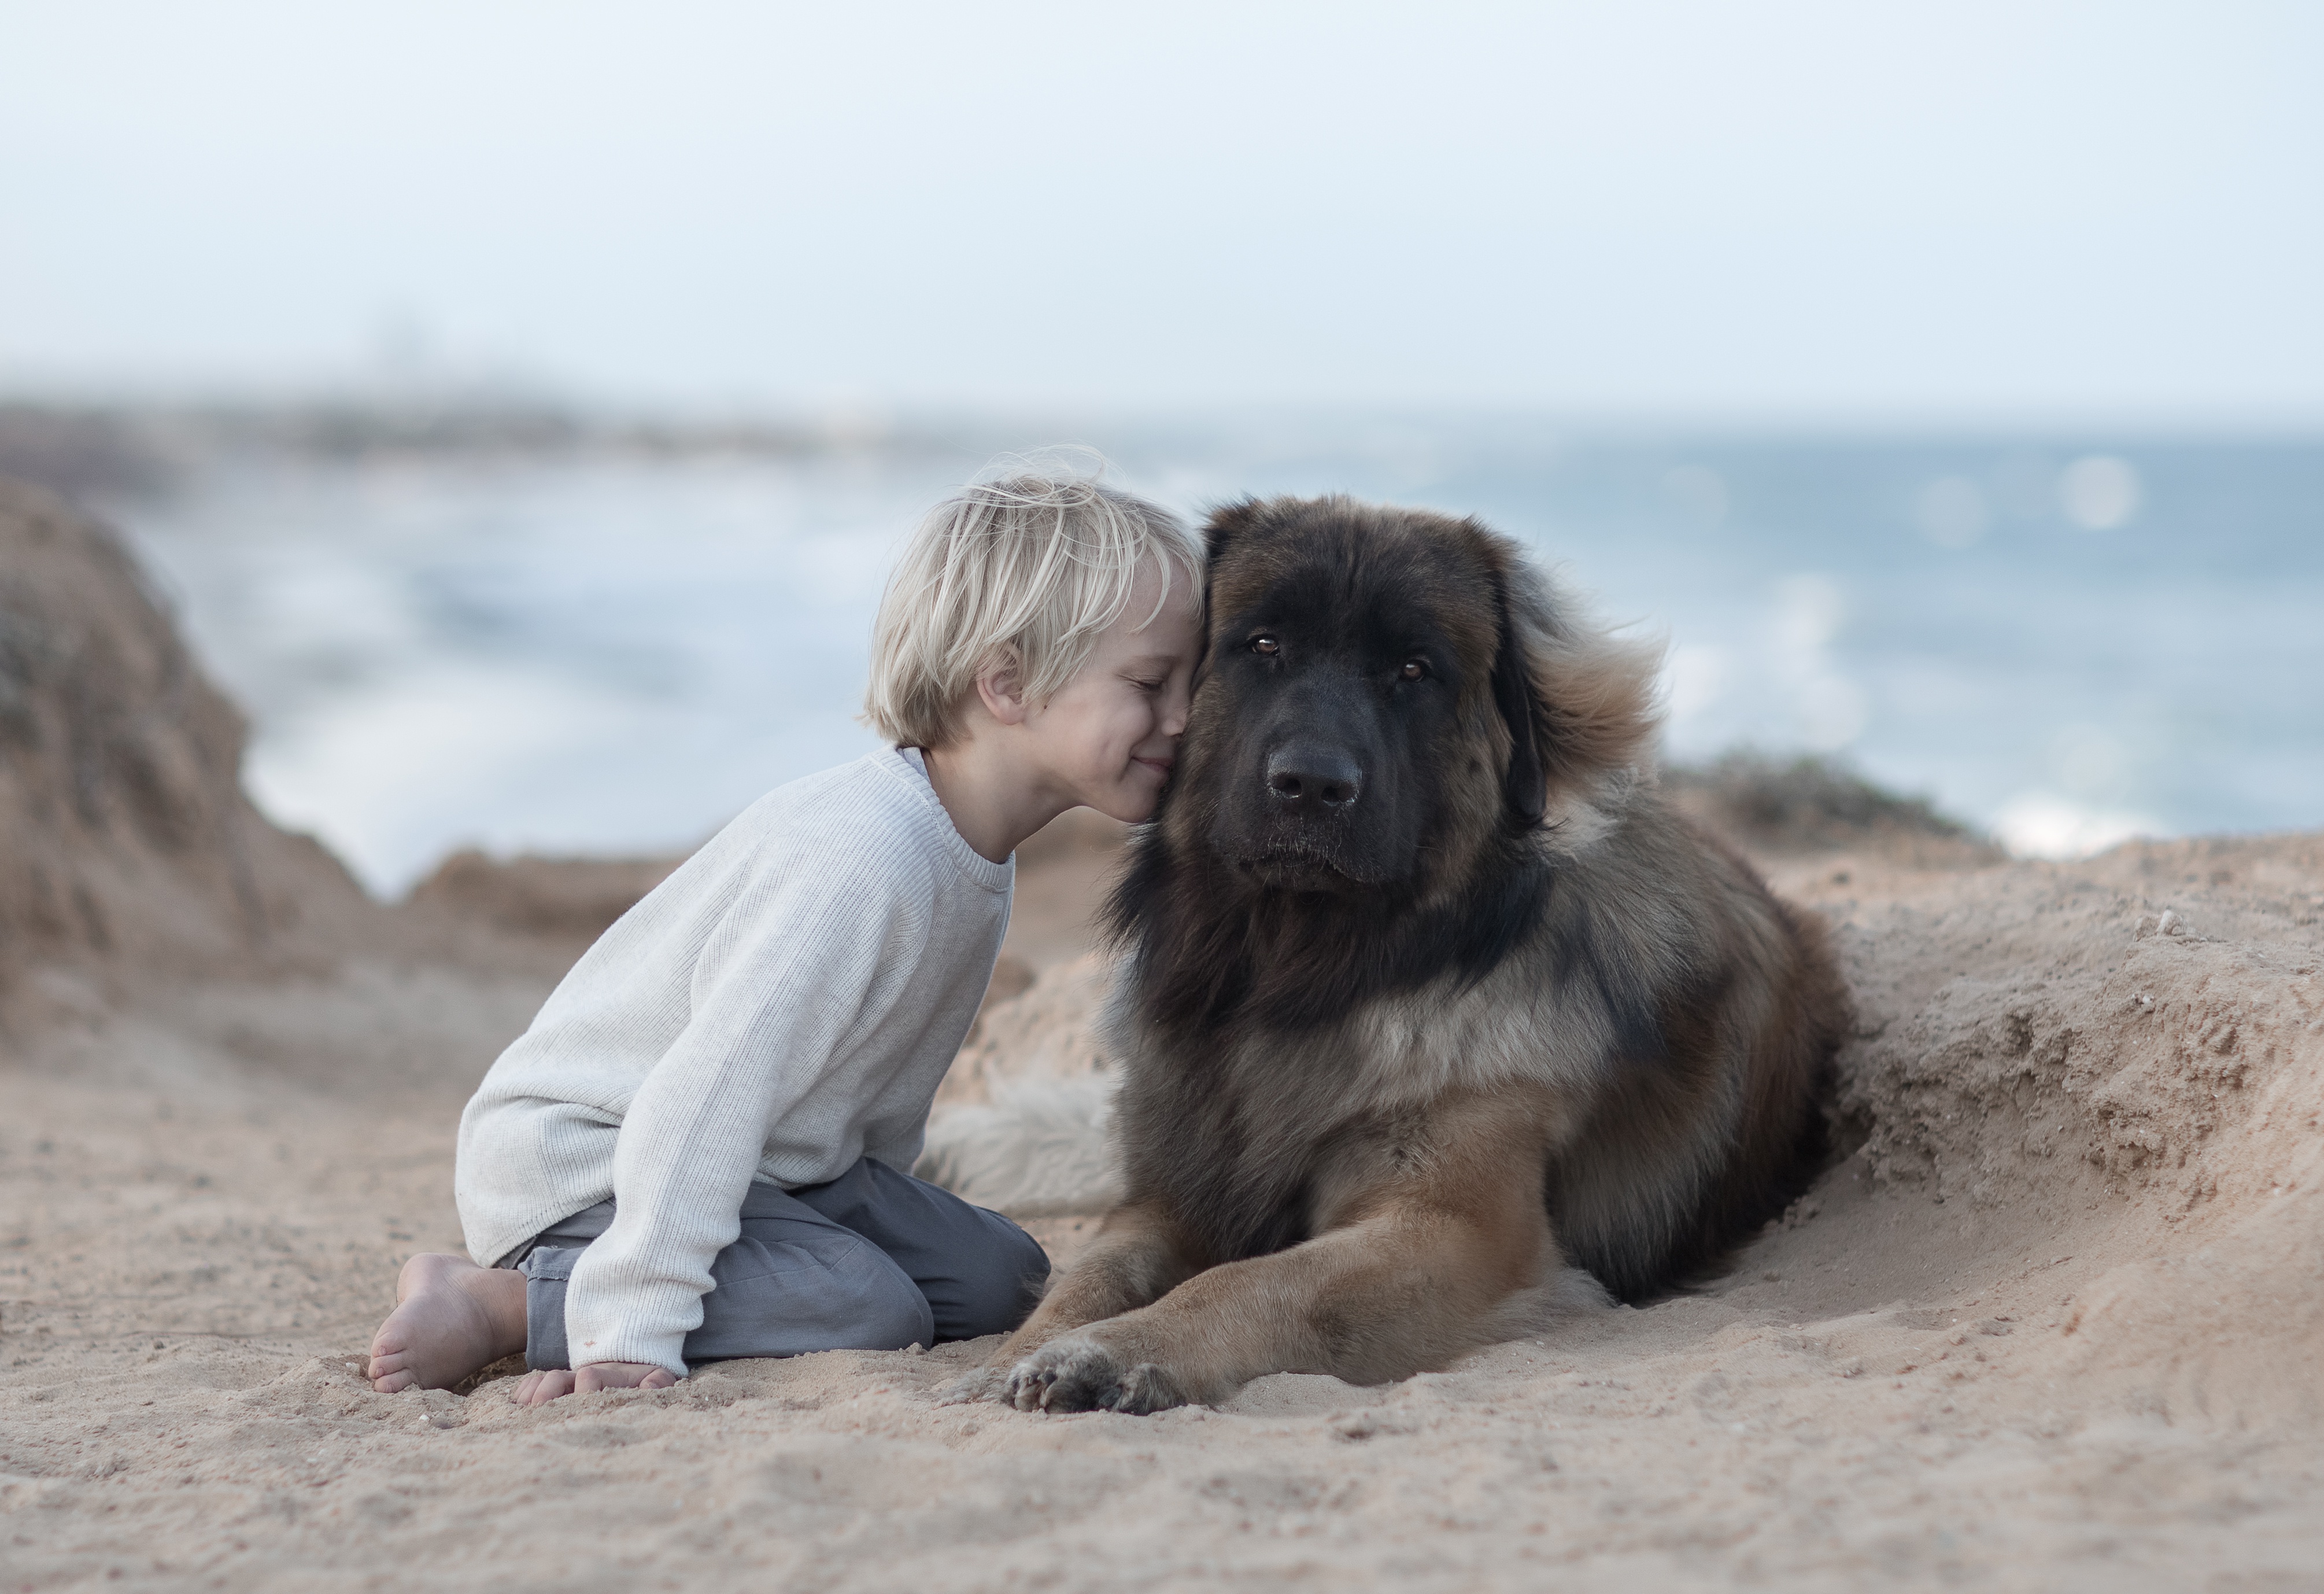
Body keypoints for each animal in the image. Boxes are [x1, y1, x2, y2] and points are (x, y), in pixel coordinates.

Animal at [962, 492, 1850, 1422]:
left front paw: (1110, 1352)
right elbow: (1090, 1271)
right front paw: (1022, 1353)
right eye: (1262, 645)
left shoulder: (1451, 1228)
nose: (1312, 785)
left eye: (1414, 671)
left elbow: (1250, 1283)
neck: (1293, 982)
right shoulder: (1169, 1197)